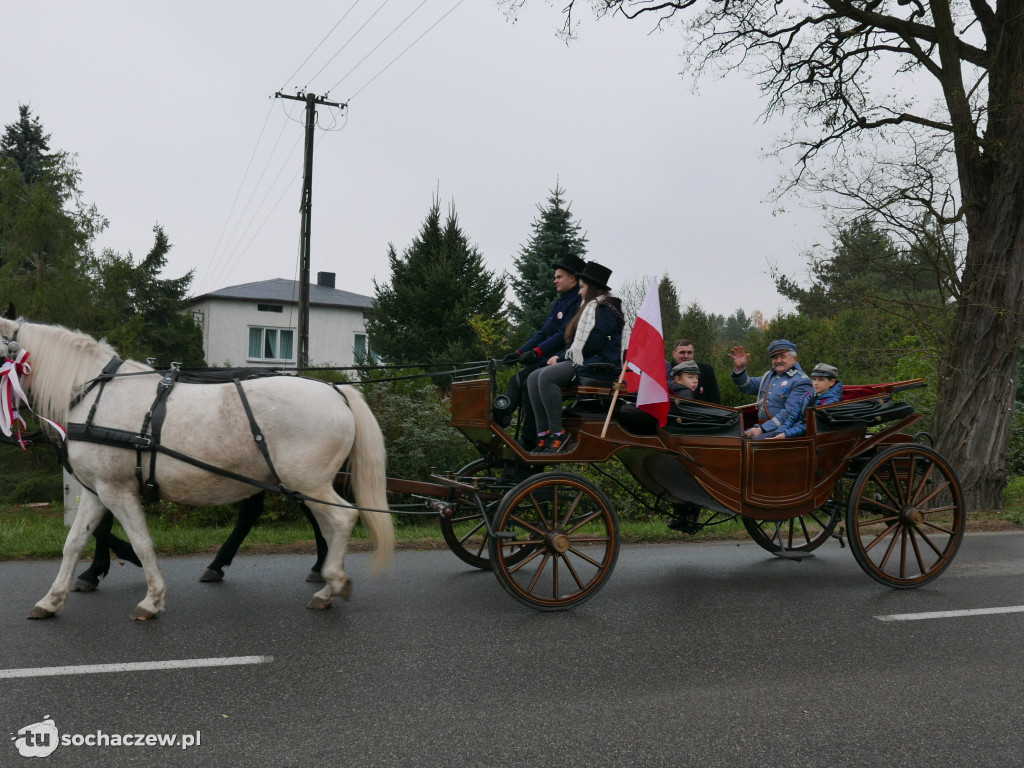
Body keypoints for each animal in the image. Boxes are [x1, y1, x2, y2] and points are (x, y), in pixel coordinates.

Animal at [0, 315, 393, 622]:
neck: (94, 393)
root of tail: (336, 390)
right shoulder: (98, 491)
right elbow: (74, 542)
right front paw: (52, 600)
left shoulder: (117, 490)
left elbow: (142, 541)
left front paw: (152, 599)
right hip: (298, 484)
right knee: (325, 525)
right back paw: (324, 583)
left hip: (307, 484)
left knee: (342, 518)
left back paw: (331, 583)